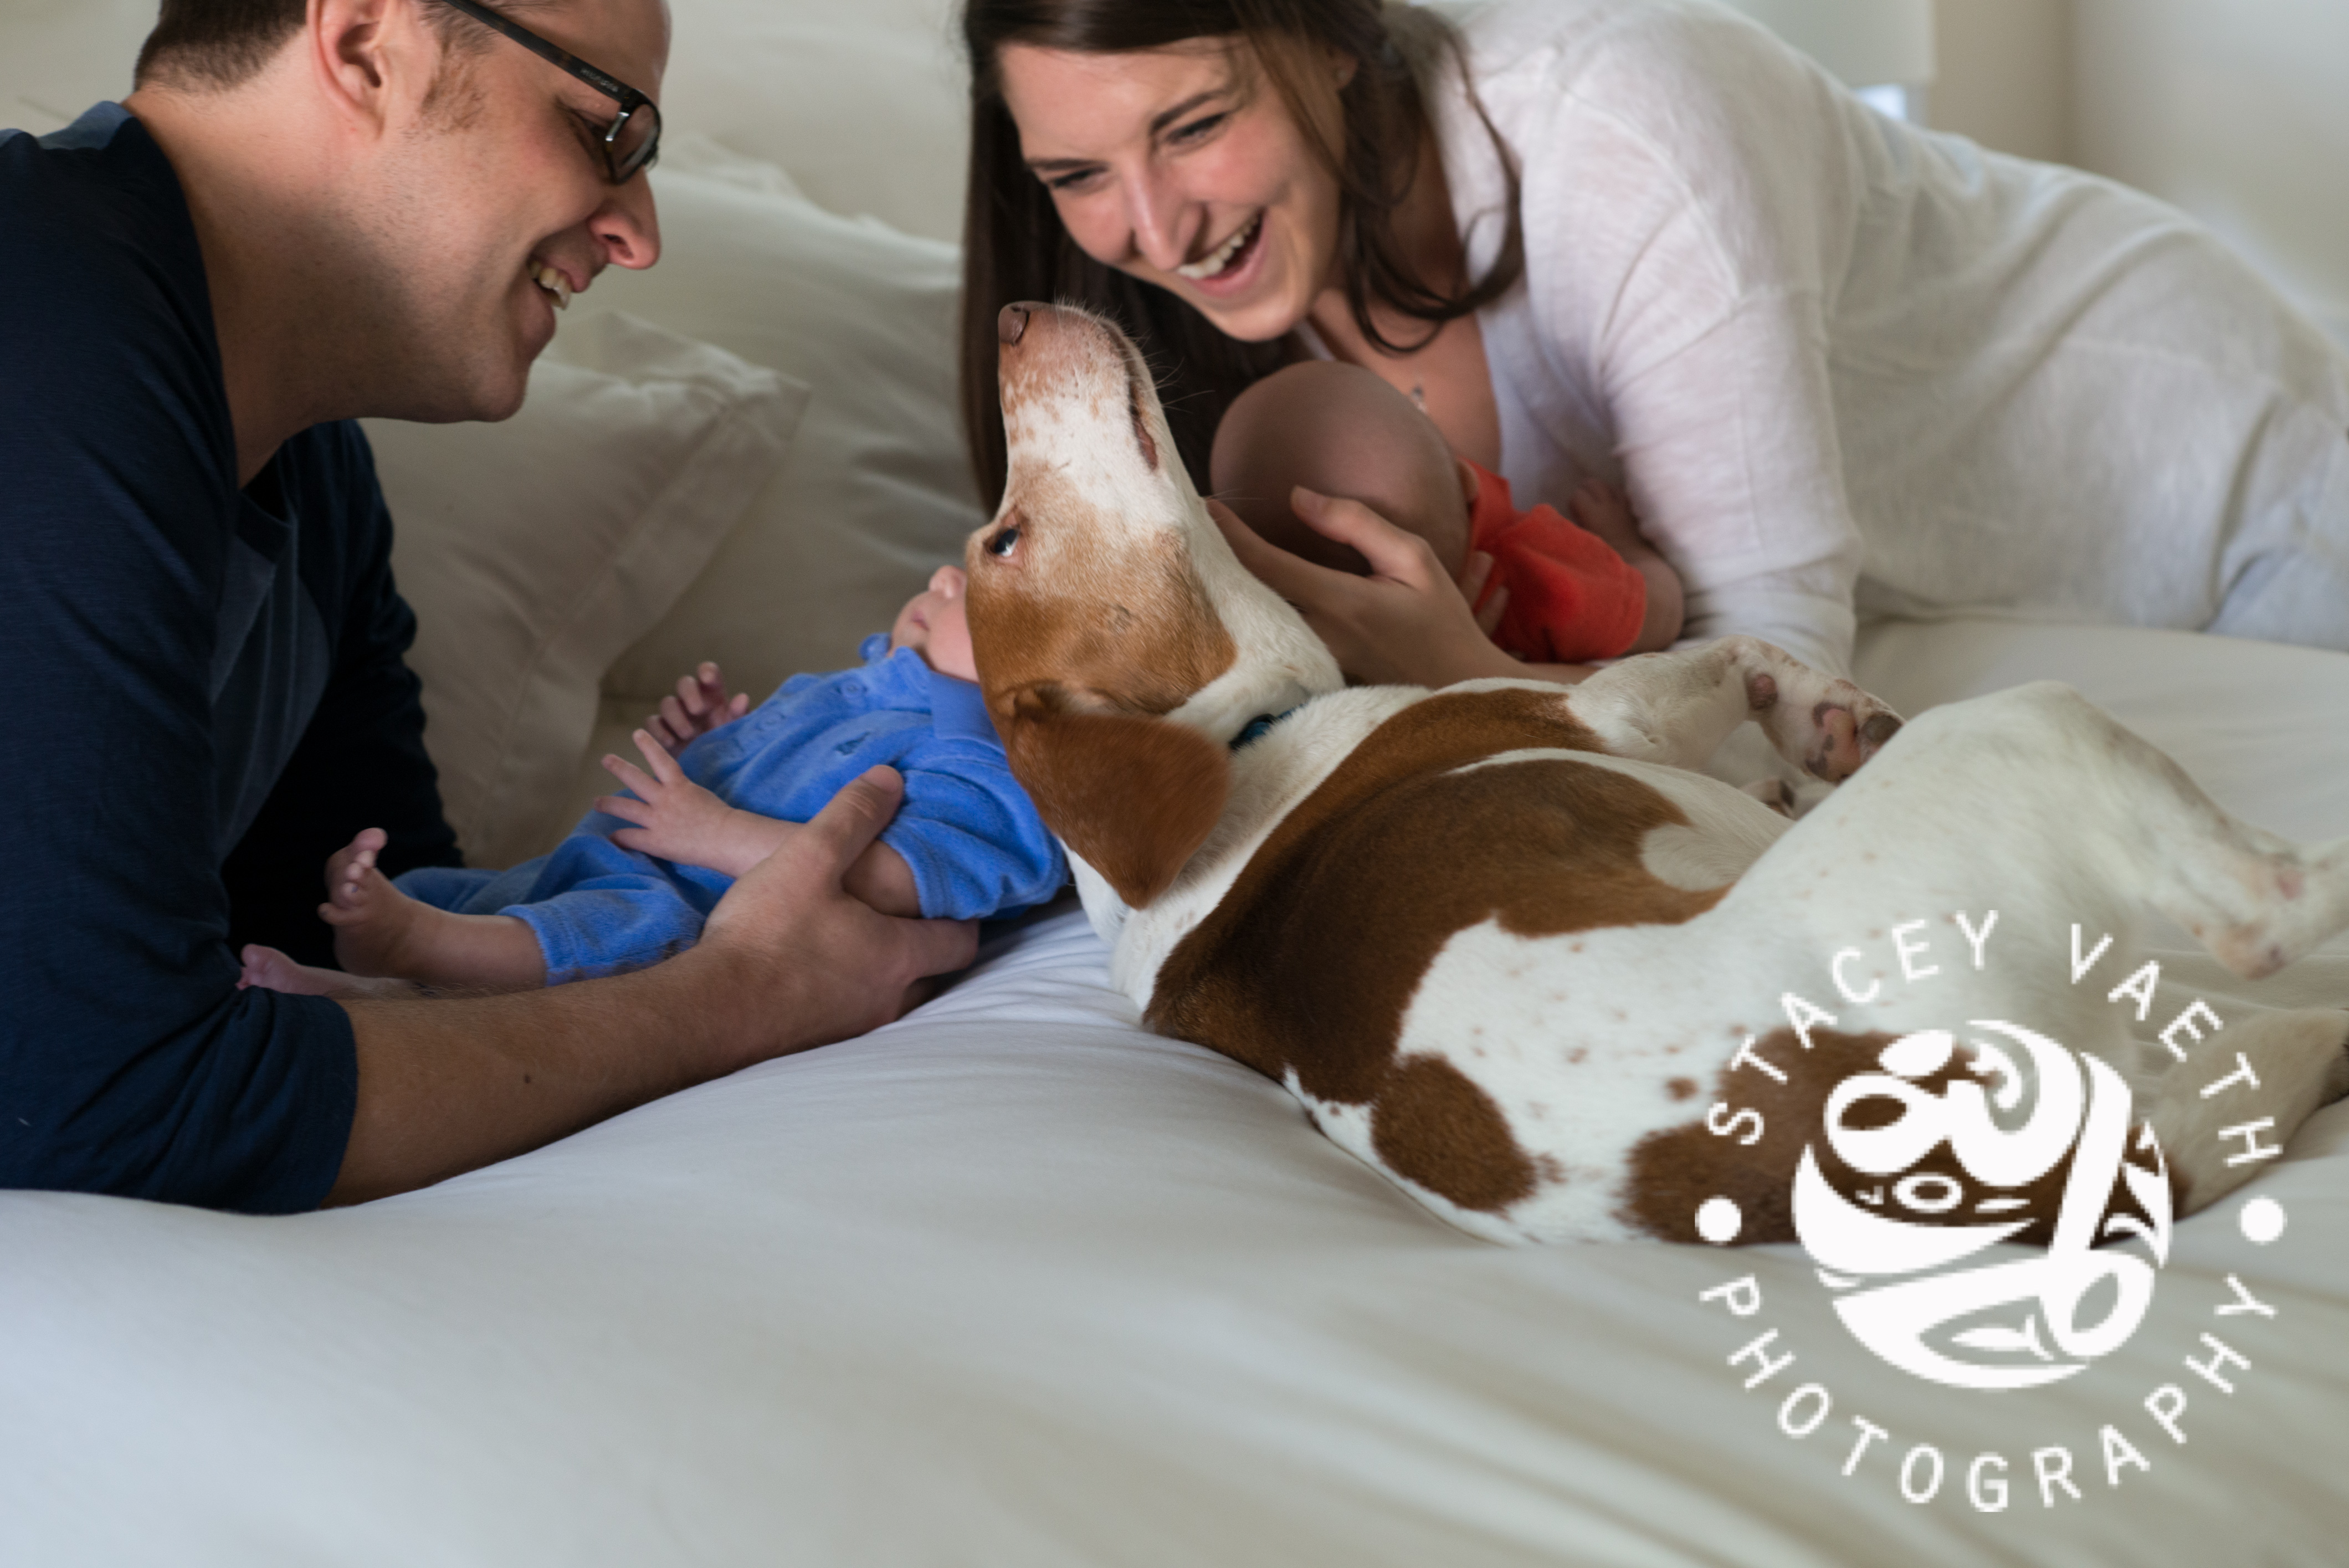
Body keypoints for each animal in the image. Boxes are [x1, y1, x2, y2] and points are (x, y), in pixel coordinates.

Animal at [965, 301, 2349, 1251]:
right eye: (1004, 538)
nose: (1011, 315)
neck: (1242, 754)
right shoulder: (1606, 708)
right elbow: (1704, 657)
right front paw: (1815, 717)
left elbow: (1745, 679)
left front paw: (1821, 729)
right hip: (2025, 731)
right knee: (2261, 912)